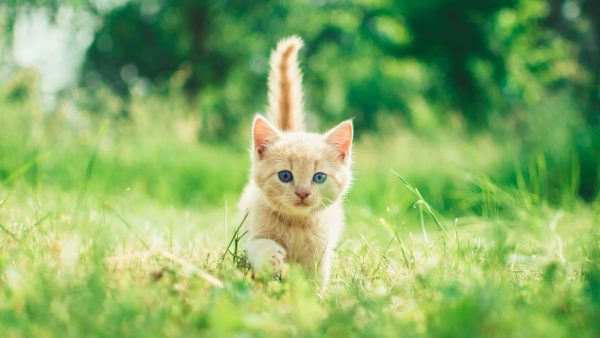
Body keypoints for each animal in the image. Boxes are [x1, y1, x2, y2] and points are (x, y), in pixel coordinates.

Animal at [238, 35, 352, 288]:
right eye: (285, 175)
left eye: (319, 177)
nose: (302, 193)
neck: (296, 225)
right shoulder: (251, 234)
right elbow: (258, 245)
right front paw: (271, 256)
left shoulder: (321, 253)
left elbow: (315, 280)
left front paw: (313, 297)